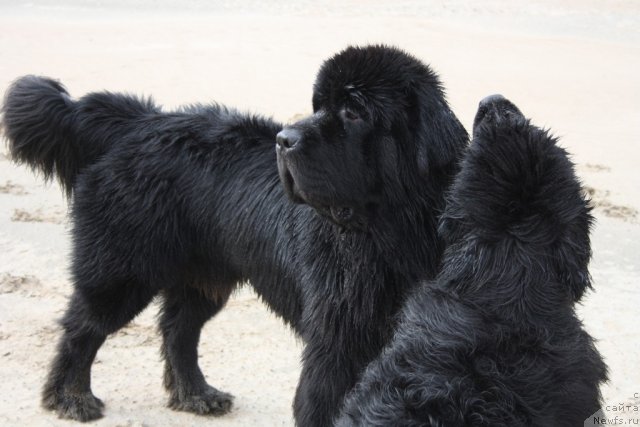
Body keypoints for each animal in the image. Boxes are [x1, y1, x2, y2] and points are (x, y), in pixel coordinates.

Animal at [1, 44, 470, 424]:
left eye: (353, 111)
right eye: (317, 106)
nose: (284, 138)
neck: (384, 237)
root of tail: (142, 120)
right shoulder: (336, 347)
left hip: (204, 276)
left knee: (179, 329)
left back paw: (195, 395)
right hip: (121, 269)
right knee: (83, 327)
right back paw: (71, 398)